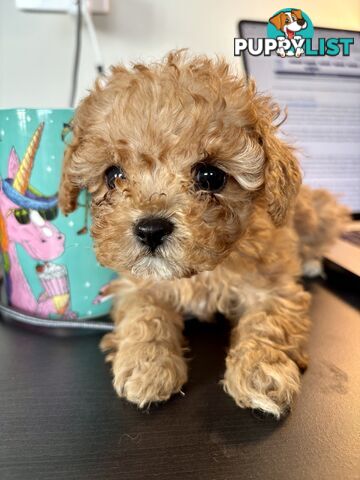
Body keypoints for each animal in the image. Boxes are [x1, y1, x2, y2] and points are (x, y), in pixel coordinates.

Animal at [59, 51, 348, 416]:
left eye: (210, 177)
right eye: (113, 176)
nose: (150, 229)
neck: (201, 273)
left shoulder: (274, 283)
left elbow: (269, 320)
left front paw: (261, 372)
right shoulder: (135, 284)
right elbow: (144, 314)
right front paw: (146, 365)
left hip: (316, 213)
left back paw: (311, 261)